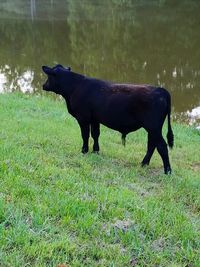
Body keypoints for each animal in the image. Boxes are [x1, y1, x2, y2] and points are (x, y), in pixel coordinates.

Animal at [42, 64, 173, 174]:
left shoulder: (83, 118)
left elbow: (85, 135)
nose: (43, 85)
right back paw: (144, 164)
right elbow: (95, 134)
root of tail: (161, 90)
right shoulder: (95, 119)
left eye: (49, 76)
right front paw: (95, 151)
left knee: (161, 146)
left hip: (153, 127)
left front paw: (84, 151)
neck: (74, 87)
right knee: (152, 144)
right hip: (153, 128)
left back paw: (167, 171)